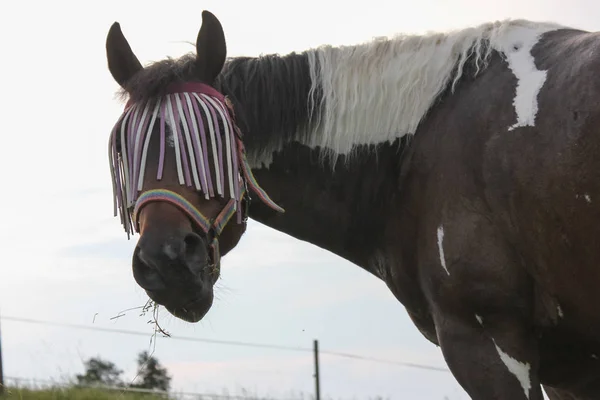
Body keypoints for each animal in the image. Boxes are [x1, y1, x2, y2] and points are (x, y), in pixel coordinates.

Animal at [105, 9, 600, 400]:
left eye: (213, 141)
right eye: (125, 153)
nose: (166, 263)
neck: (424, 140)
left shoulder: (487, 339)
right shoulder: (568, 368)